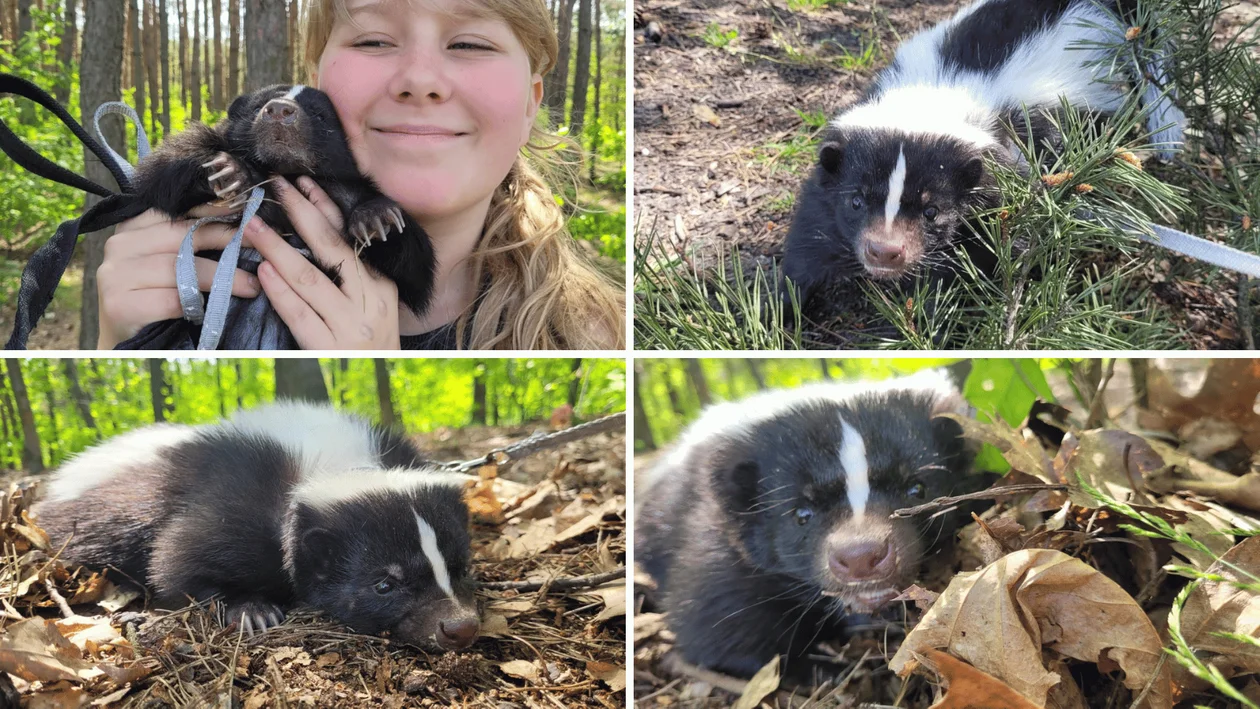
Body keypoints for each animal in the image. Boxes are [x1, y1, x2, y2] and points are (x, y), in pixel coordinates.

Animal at [34, 402, 478, 649]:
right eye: (384, 584)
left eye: (460, 567)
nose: (459, 626)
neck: (335, 462)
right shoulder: (237, 503)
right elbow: (179, 559)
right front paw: (252, 610)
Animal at [131, 83, 438, 316]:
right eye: (258, 106)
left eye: (319, 115)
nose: (279, 109)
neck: (288, 172)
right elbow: (163, 171)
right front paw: (233, 173)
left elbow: (415, 271)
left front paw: (377, 218)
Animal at [640, 372, 982, 674]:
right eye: (801, 515)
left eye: (917, 489)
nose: (860, 557)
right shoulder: (718, 549)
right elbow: (718, 623)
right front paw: (825, 668)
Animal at [781, 0, 1184, 308]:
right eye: (856, 201)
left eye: (932, 211)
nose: (885, 250)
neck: (940, 92)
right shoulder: (833, 173)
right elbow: (810, 240)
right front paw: (781, 311)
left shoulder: (1014, 169)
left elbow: (991, 255)